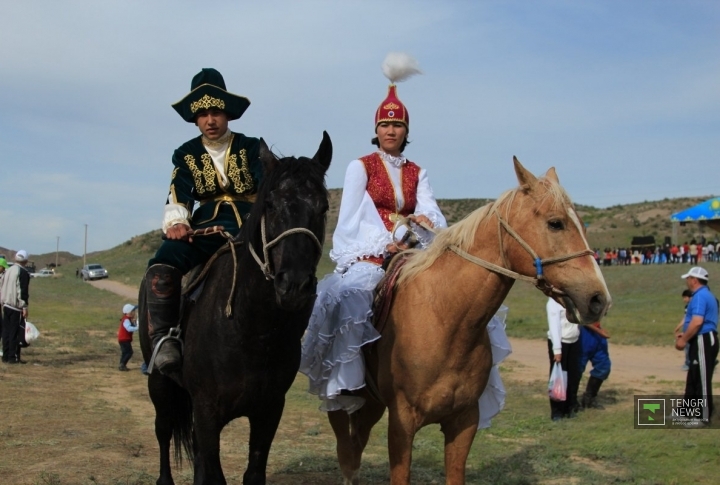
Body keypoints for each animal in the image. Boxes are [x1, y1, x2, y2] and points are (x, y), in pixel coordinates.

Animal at [139, 132, 334, 484]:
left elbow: (251, 473)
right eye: (270, 204)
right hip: (159, 382)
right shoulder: (207, 412)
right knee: (163, 430)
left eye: (323, 207)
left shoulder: (269, 411)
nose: (294, 286)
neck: (252, 330)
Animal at [330, 157, 612, 482]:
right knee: (348, 451)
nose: (599, 299)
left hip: (372, 403)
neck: (445, 320)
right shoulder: (402, 423)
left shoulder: (464, 422)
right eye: (556, 223)